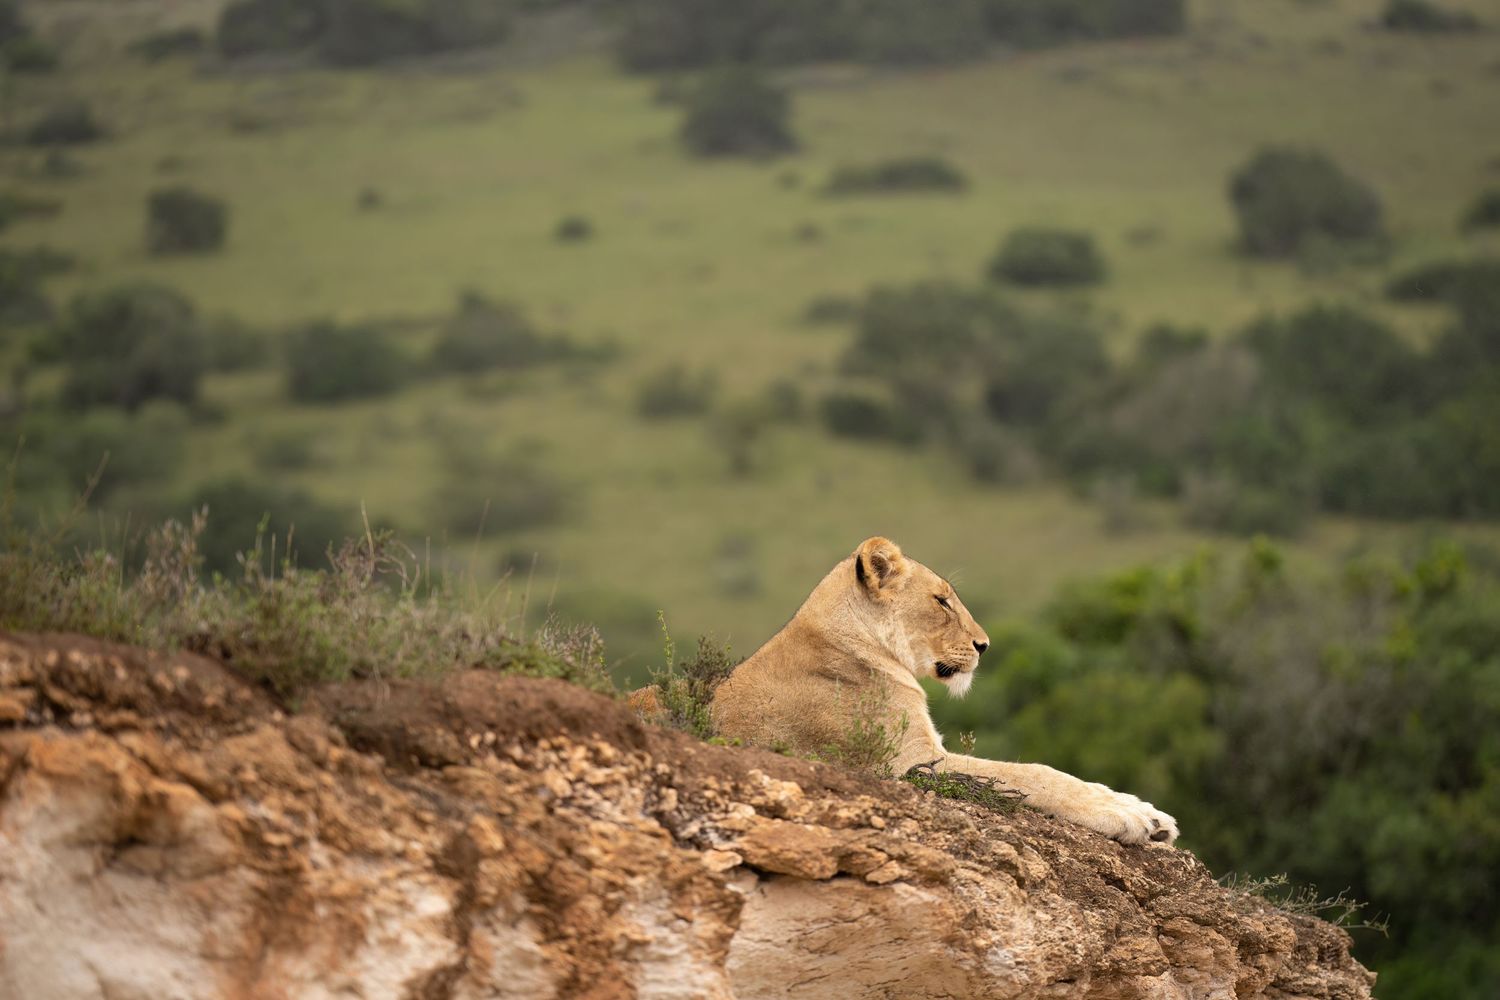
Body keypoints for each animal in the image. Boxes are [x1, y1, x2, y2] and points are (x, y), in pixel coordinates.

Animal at [711, 536, 1178, 845]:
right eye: (942, 601)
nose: (984, 645)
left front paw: (1147, 812)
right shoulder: (907, 763)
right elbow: (1035, 773)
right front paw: (1125, 816)